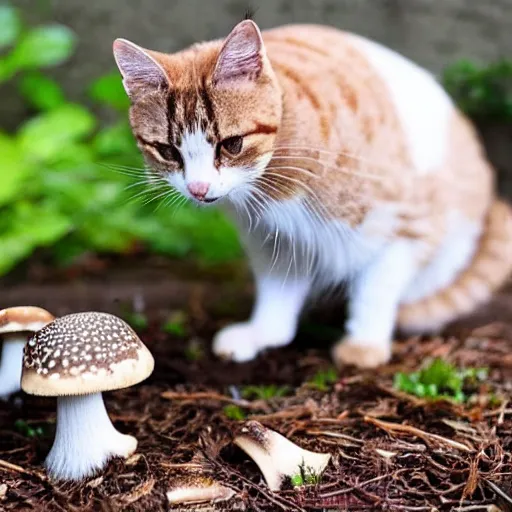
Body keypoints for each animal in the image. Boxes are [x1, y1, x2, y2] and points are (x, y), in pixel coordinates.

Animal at [113, 19, 512, 368]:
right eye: (168, 151)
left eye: (232, 144)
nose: (198, 188)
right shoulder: (273, 239)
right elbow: (277, 290)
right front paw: (265, 333)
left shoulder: (406, 224)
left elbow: (377, 287)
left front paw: (364, 344)